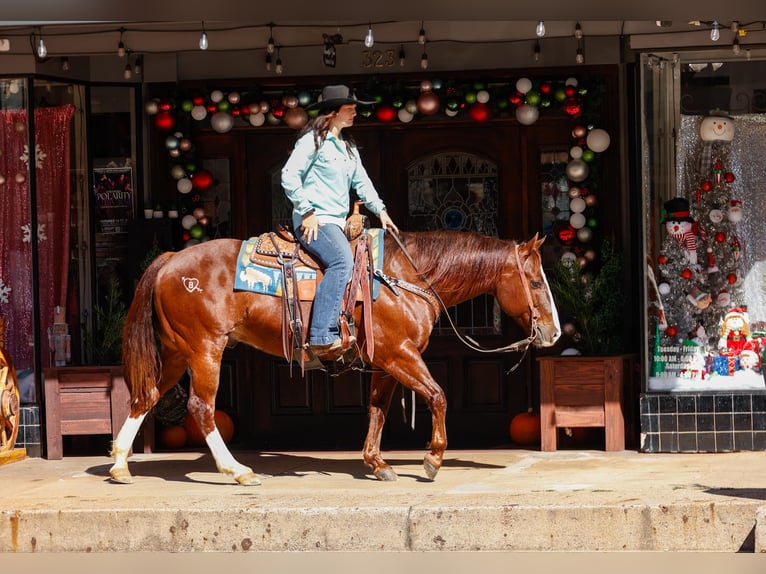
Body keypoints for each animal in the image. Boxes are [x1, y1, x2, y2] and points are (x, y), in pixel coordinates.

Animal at [109, 230, 561, 485]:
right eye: (536, 281)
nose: (554, 332)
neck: (403, 277)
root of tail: (171, 260)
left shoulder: (386, 362)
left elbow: (378, 410)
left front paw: (377, 463)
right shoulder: (401, 355)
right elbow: (438, 396)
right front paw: (432, 459)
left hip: (176, 353)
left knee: (145, 398)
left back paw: (120, 466)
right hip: (206, 350)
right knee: (202, 408)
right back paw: (237, 471)